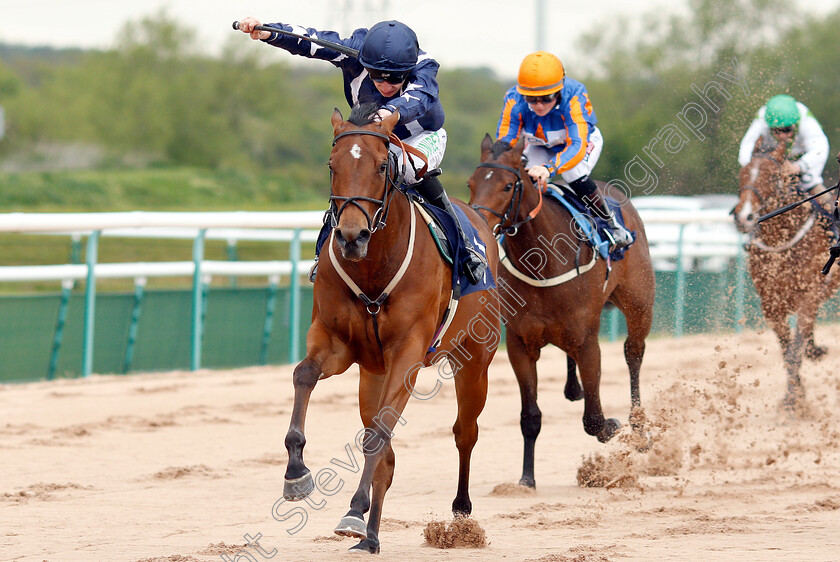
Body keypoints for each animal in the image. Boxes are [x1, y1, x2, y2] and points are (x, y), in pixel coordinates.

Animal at [286, 105, 502, 552]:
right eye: (331, 165)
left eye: (383, 165)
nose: (351, 236)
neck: (372, 268)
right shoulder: (337, 343)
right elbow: (304, 375)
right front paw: (297, 473)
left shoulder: (408, 353)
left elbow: (379, 433)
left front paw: (355, 506)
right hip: (373, 372)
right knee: (385, 451)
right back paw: (367, 533)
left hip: (474, 361)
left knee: (464, 431)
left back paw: (459, 510)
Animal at [466, 135, 656, 486]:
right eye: (471, 183)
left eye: (507, 185)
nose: (479, 225)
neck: (543, 260)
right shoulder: (520, 344)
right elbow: (530, 416)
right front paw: (526, 478)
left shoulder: (588, 342)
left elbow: (594, 419)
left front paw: (613, 424)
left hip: (639, 304)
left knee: (633, 353)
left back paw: (638, 428)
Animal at [732, 138, 836, 410]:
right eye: (742, 174)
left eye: (771, 176)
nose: (744, 217)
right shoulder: (772, 305)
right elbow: (788, 350)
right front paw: (795, 397)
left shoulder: (808, 296)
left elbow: (795, 351)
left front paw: (793, 402)